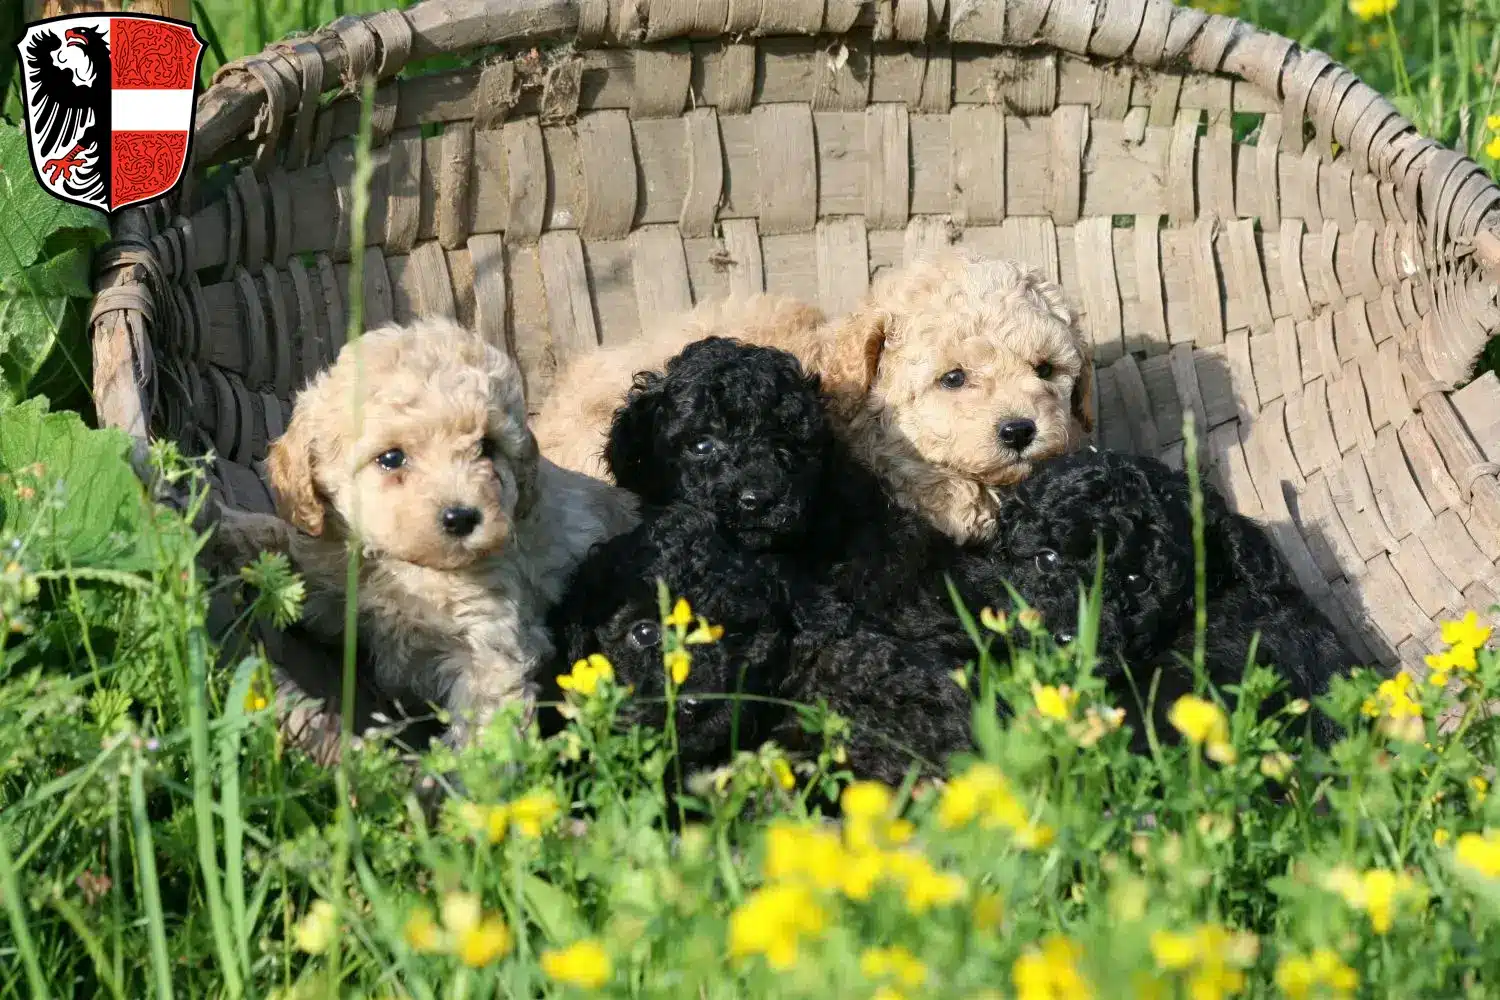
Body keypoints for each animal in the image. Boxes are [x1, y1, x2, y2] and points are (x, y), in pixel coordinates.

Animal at [210, 316, 633, 746]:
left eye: (486, 447)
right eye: (391, 458)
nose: (462, 518)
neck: (404, 566)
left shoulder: (486, 644)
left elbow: (484, 728)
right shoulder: (329, 579)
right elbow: (279, 548)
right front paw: (219, 525)